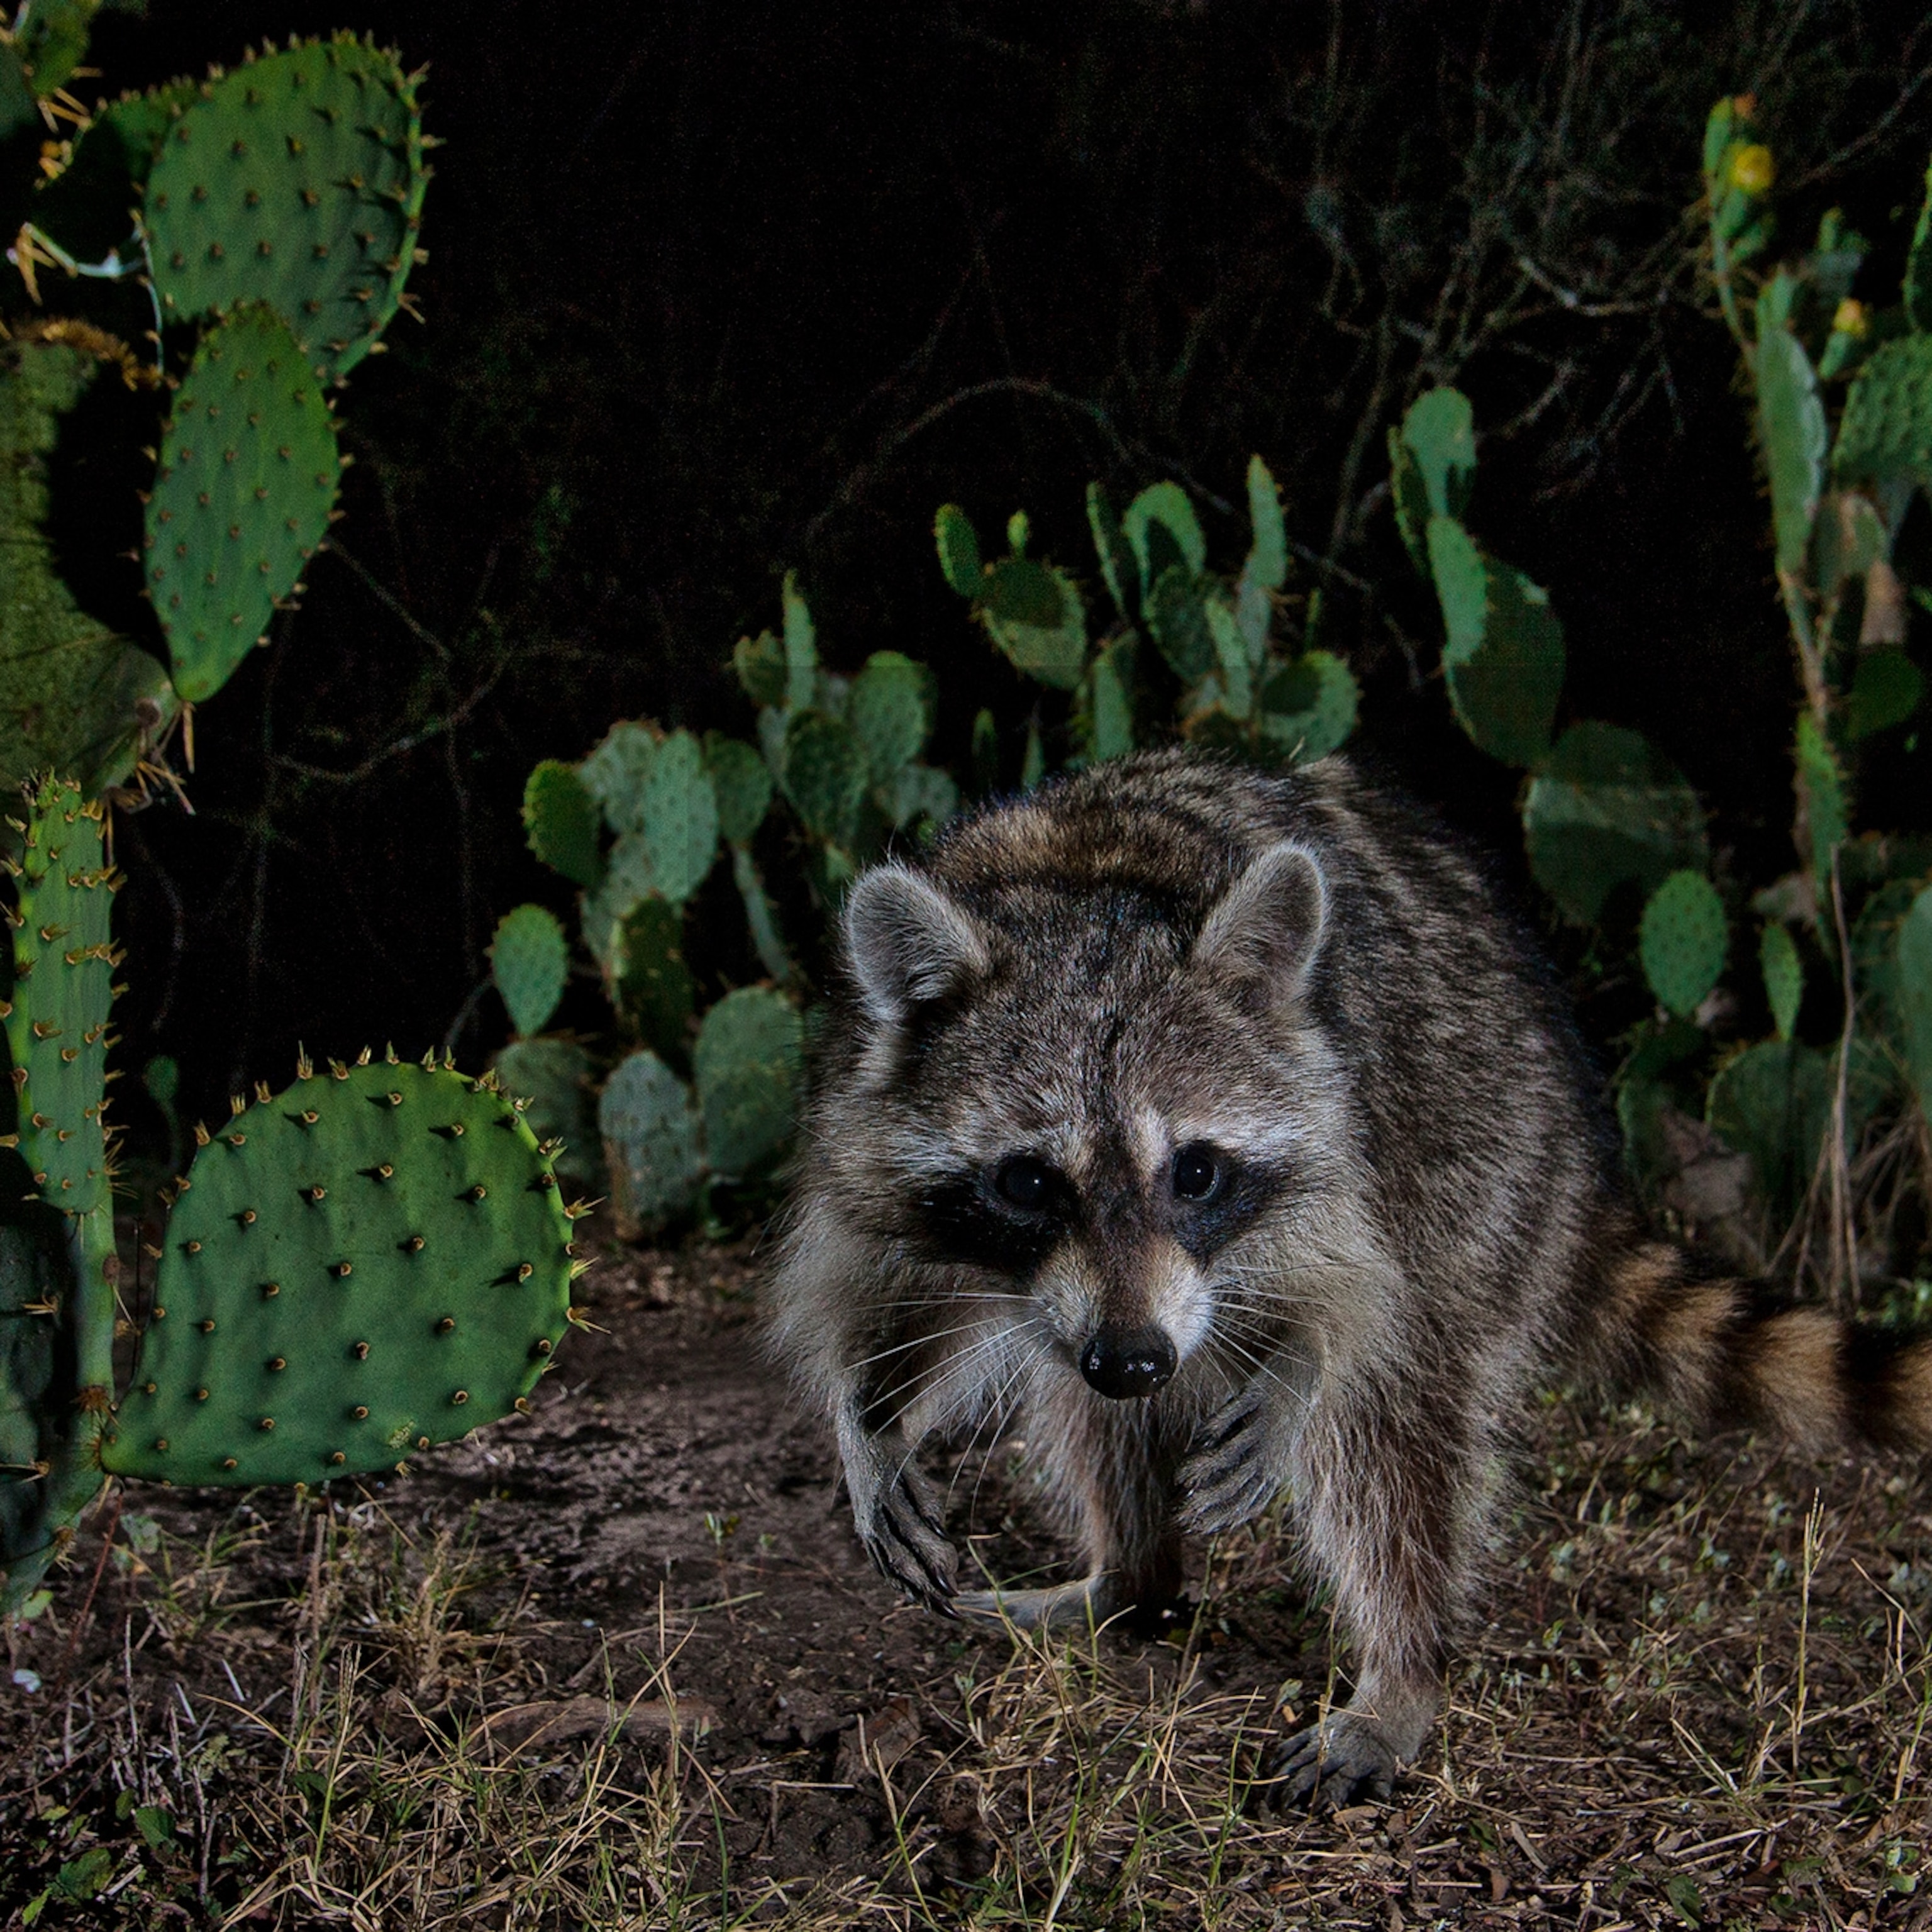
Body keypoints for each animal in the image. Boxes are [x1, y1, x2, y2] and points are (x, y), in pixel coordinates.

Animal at [765, 745, 1932, 1801]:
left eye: (1195, 1171)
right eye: (1026, 1182)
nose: (1137, 1355)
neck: (1085, 894)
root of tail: (1575, 1138)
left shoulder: (1342, 1115)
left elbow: (1358, 1300)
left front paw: (1301, 1371)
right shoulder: (870, 1120)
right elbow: (894, 1287)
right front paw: (870, 1419)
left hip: (1483, 1157)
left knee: (1394, 1424)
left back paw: (1399, 1666)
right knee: (1087, 1405)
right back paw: (1131, 1577)